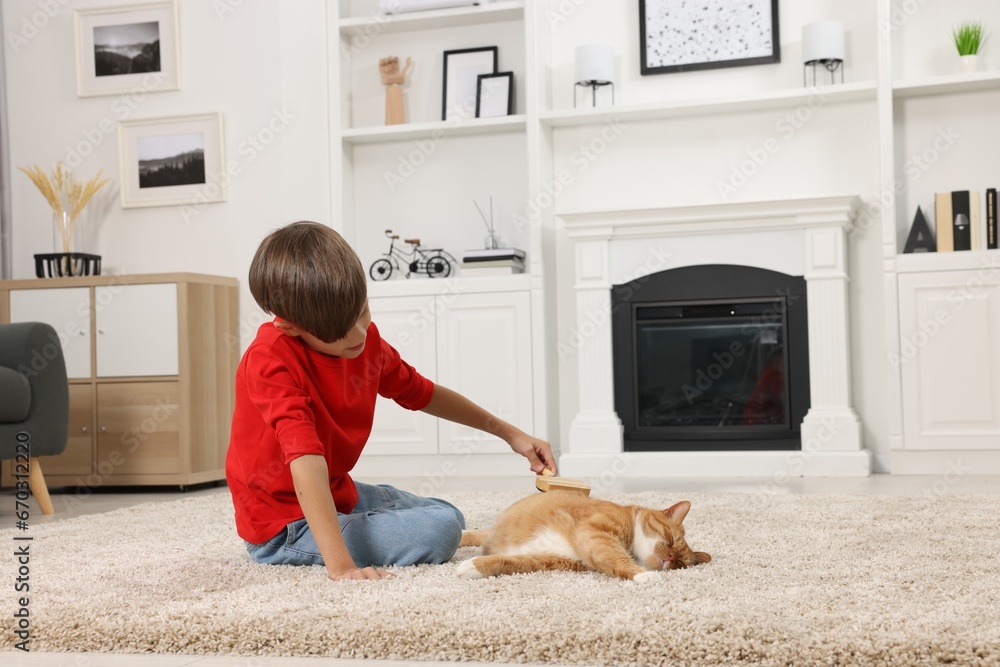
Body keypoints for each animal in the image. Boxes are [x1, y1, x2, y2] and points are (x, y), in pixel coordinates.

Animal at [458, 490, 708, 584]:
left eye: (680, 563)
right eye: (671, 539)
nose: (671, 557)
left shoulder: (547, 559)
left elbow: (509, 562)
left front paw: (473, 567)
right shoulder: (596, 533)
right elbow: (617, 556)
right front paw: (643, 574)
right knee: (477, 534)